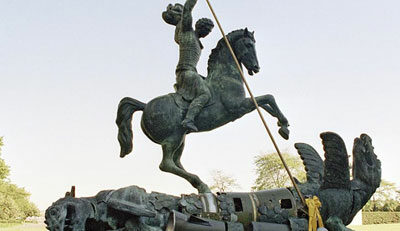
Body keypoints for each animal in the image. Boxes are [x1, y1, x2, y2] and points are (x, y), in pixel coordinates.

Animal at [117, 28, 290, 193]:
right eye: (248, 44)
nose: (256, 67)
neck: (225, 75)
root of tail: (145, 106)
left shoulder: (245, 105)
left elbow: (266, 103)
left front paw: (283, 126)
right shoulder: (239, 106)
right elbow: (268, 98)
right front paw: (284, 127)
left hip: (181, 138)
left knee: (176, 162)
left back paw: (199, 184)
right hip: (173, 138)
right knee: (166, 164)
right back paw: (201, 184)